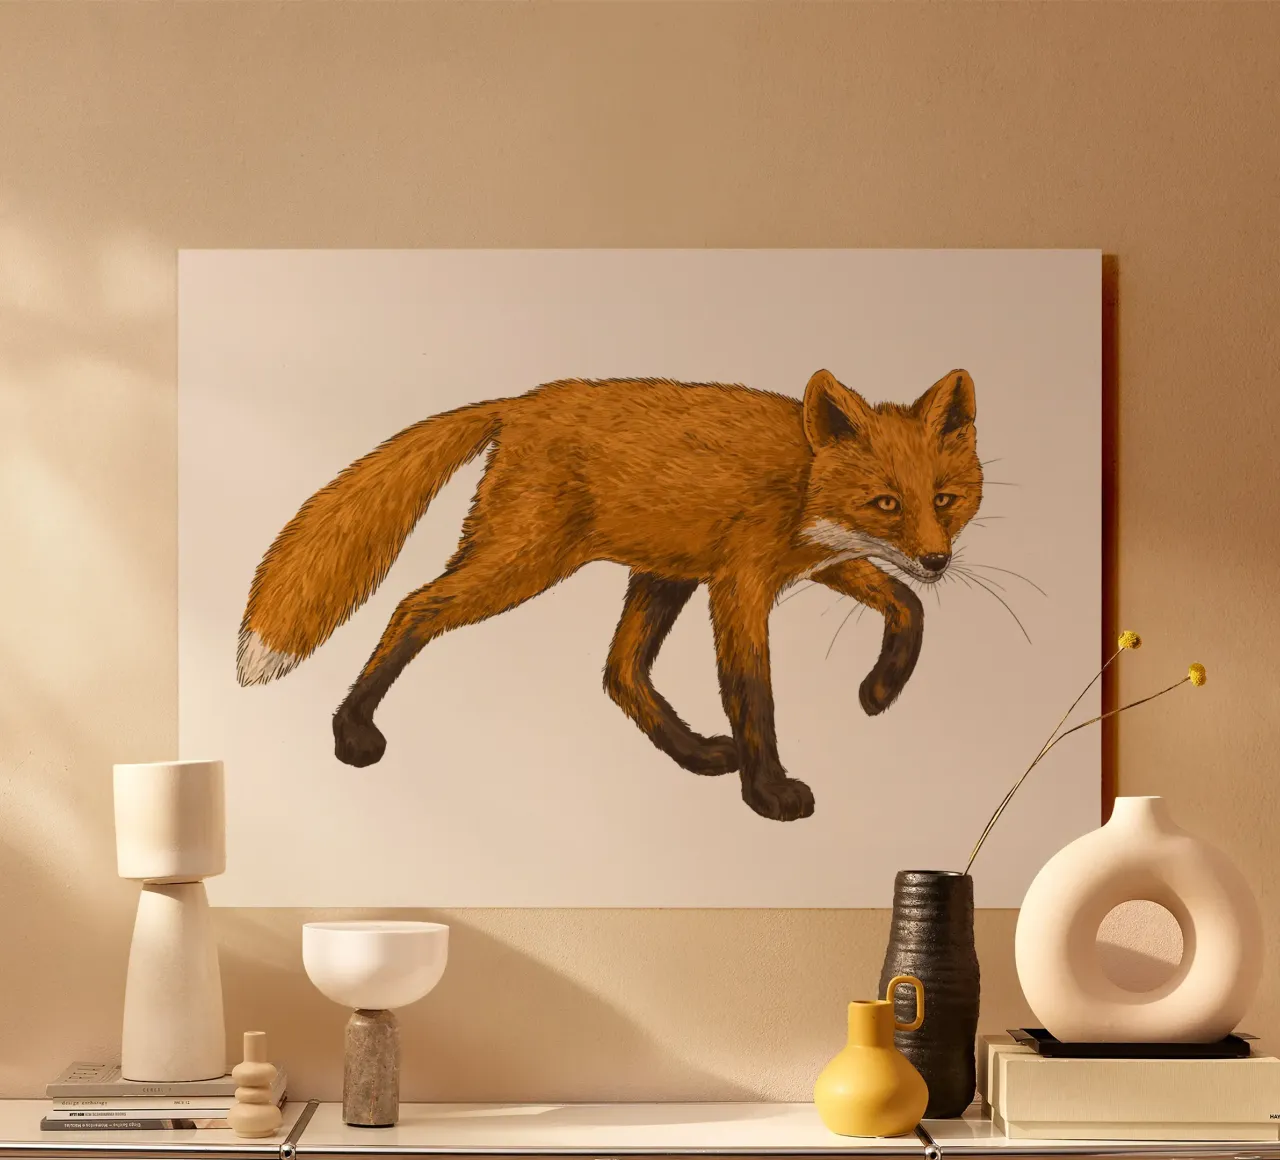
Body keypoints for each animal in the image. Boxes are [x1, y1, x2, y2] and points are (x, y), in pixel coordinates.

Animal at [236, 368, 982, 822]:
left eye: (945, 500)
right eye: (886, 503)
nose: (937, 559)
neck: (802, 478)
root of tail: (518, 403)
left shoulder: (814, 561)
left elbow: (908, 605)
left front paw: (881, 690)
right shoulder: (740, 584)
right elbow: (753, 692)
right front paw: (769, 792)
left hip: (659, 574)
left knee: (619, 671)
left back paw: (695, 754)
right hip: (527, 560)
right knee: (414, 605)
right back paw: (352, 729)